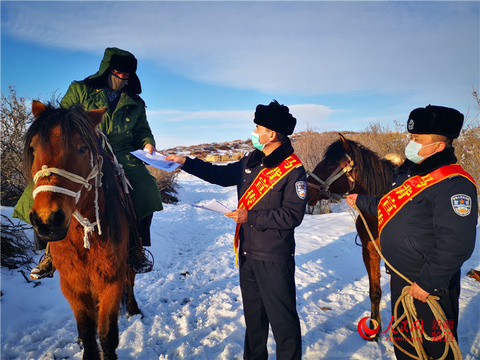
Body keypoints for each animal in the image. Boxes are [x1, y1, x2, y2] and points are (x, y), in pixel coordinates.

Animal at [25, 101, 139, 360]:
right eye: (34, 148)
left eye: (83, 148)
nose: (47, 220)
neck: (82, 236)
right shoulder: (72, 284)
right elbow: (88, 331)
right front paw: (84, 342)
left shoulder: (111, 281)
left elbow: (107, 335)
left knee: (131, 279)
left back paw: (134, 309)